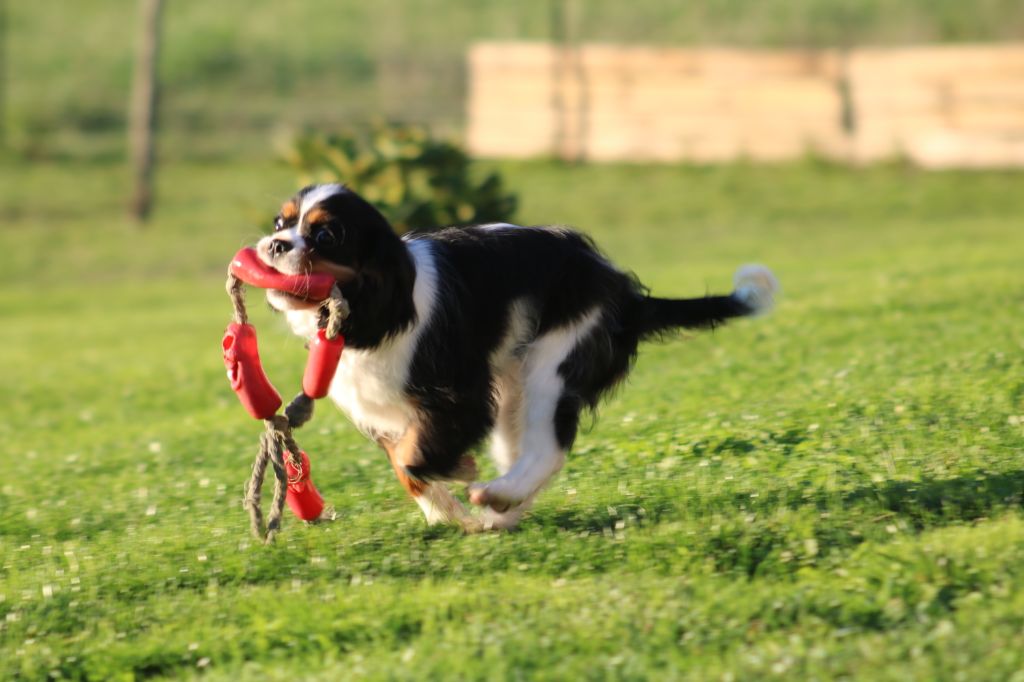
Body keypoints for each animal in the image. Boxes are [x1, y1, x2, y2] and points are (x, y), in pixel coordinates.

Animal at [258, 183, 774, 528]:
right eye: (281, 223)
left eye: (326, 237)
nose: (275, 244)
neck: (372, 308)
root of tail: (624, 291)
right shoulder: (385, 410)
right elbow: (405, 465)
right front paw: (444, 512)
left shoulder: (457, 395)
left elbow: (412, 456)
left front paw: (459, 475)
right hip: (512, 391)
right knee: (524, 450)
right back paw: (503, 511)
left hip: (553, 363)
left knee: (549, 448)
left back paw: (496, 494)